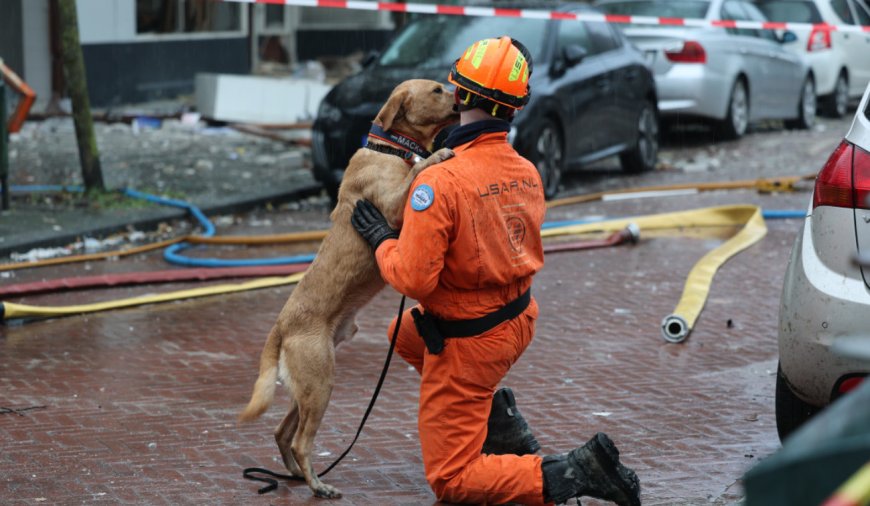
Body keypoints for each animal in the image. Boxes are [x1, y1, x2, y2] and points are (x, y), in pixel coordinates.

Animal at [235, 79, 460, 498]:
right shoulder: (392, 206)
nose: (459, 93)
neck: (390, 148)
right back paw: (318, 485)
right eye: (438, 89)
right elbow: (418, 172)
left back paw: (298, 476)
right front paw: (438, 155)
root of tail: (280, 326)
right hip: (321, 383)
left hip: (308, 389)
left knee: (282, 433)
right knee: (299, 441)